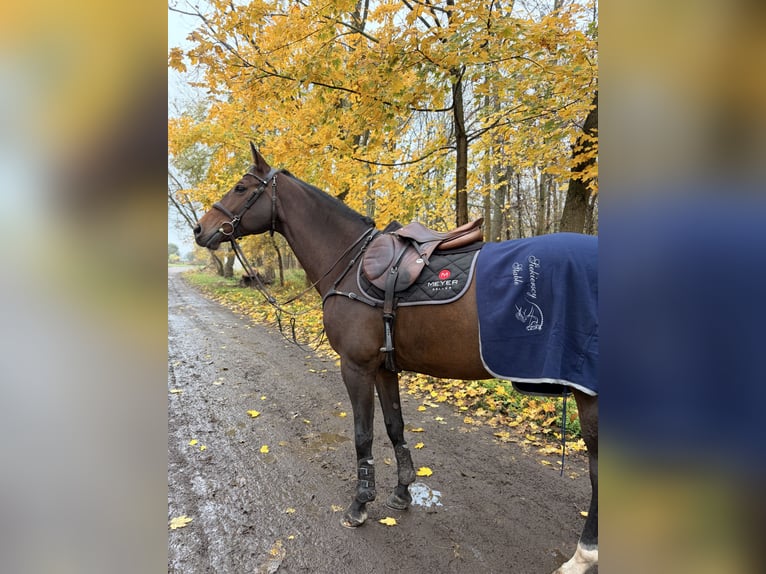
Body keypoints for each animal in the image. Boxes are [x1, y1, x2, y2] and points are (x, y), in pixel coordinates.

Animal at [193, 144, 598, 574]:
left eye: (241, 187)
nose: (200, 230)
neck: (351, 264)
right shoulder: (384, 368)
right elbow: (394, 427)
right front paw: (402, 491)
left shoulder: (355, 367)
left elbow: (363, 434)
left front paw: (359, 504)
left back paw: (582, 555)